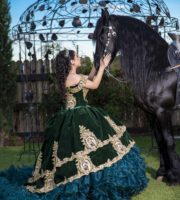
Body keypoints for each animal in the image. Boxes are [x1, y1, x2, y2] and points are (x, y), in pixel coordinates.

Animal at [90, 9, 180, 184]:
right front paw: (162, 172)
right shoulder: (151, 114)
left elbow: (169, 141)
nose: (97, 66)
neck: (159, 70)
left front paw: (173, 176)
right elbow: (160, 141)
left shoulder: (163, 112)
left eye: (103, 37)